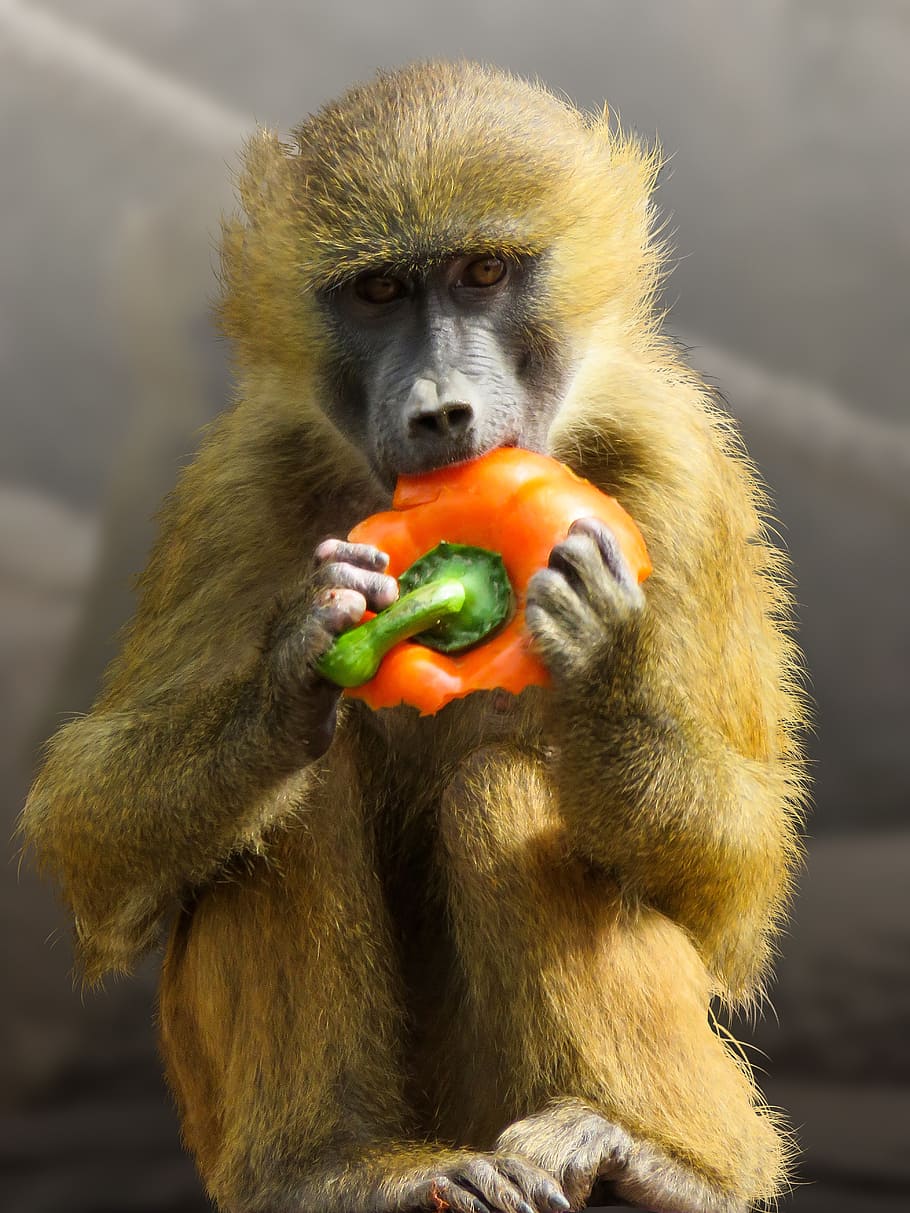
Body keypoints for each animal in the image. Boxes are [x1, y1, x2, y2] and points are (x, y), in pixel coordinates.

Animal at [21, 62, 807, 1213]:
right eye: (380, 293)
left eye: (483, 273)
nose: (441, 413)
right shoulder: (236, 481)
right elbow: (86, 829)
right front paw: (298, 663)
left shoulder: (680, 466)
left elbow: (738, 889)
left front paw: (600, 660)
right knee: (300, 796)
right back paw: (336, 1168)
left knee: (502, 790)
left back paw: (662, 1161)